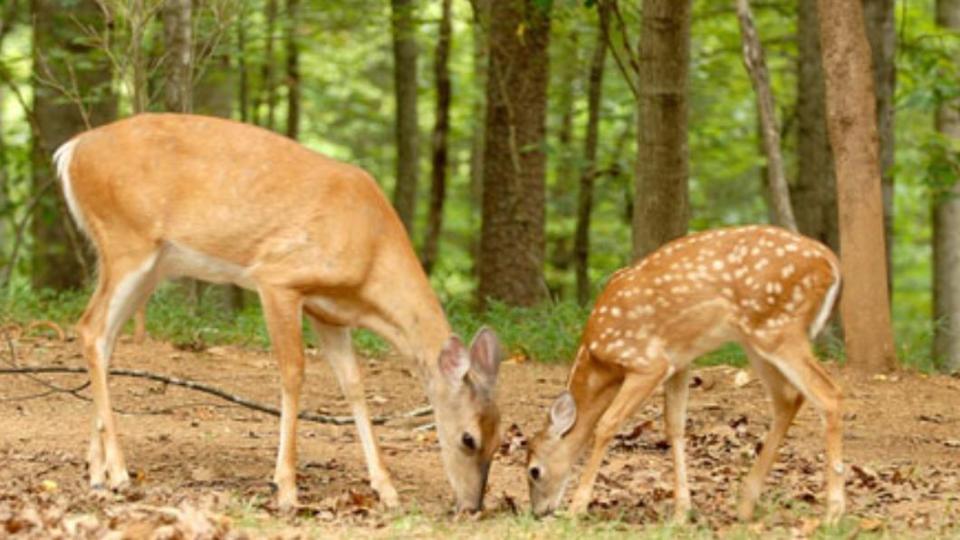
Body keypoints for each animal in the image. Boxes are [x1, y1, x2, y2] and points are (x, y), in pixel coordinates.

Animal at [54, 113, 502, 510]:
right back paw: (120, 473)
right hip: (126, 240)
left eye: (499, 439)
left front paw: (387, 490)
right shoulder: (278, 278)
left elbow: (353, 385)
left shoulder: (329, 313)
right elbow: (293, 373)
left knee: (104, 337)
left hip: (148, 263)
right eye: (468, 439)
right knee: (90, 328)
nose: (472, 506)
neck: (370, 254)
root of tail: (71, 151)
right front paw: (285, 488)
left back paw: (97, 473)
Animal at [520, 225, 844, 524]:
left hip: (777, 327)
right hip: (756, 338)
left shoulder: (647, 362)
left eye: (534, 470)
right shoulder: (679, 362)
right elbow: (674, 426)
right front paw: (681, 510)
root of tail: (831, 263)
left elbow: (607, 424)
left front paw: (577, 508)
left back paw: (833, 513)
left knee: (828, 395)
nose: (538, 512)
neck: (600, 359)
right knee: (789, 398)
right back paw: (745, 505)